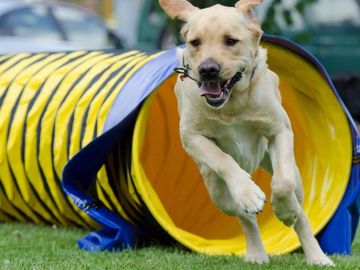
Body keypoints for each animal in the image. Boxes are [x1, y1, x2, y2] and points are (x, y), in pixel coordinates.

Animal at [159, 0, 334, 266]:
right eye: (195, 42)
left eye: (231, 41)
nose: (208, 69)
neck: (232, 102)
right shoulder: (191, 137)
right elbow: (223, 159)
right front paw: (249, 193)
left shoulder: (279, 130)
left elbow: (282, 184)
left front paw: (285, 210)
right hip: (217, 192)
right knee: (245, 217)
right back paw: (256, 252)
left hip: (293, 175)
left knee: (301, 212)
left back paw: (316, 255)